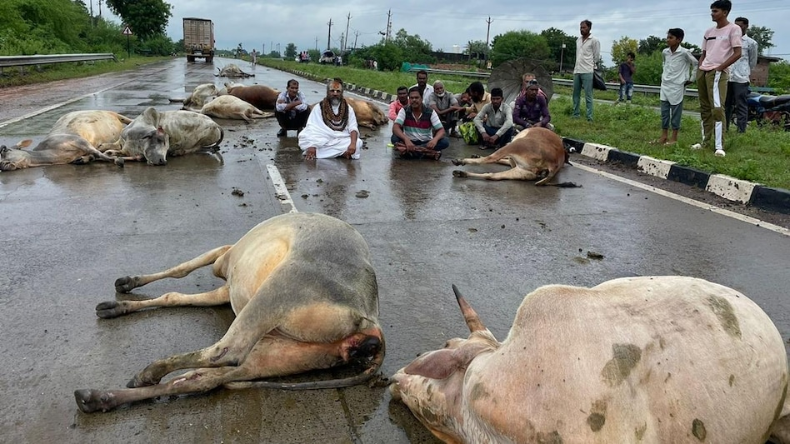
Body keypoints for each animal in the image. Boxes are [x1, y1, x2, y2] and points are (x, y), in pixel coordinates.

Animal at [72, 212, 386, 412]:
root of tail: (369, 321)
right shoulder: (224, 288)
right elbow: (175, 296)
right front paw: (118, 304)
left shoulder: (223, 254)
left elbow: (181, 269)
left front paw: (129, 283)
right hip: (288, 353)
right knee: (201, 379)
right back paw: (97, 398)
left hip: (280, 289)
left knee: (225, 351)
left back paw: (147, 372)